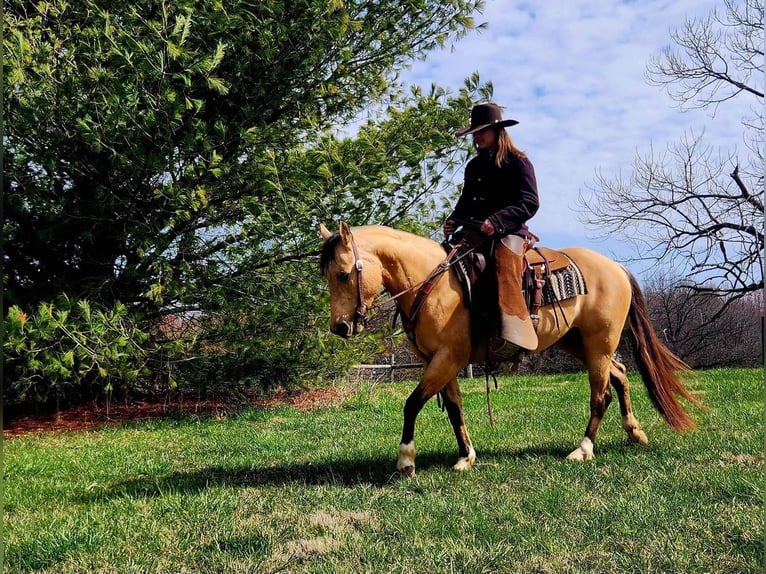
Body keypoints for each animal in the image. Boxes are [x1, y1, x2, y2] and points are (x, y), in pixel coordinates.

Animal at [318, 220, 704, 476]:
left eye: (343, 274)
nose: (340, 327)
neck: (434, 284)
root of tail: (616, 267)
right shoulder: (439, 361)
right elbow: (454, 409)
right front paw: (466, 456)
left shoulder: (447, 358)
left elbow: (412, 404)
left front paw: (406, 459)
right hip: (580, 343)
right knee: (620, 375)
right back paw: (634, 432)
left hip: (599, 343)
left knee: (601, 394)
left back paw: (583, 450)